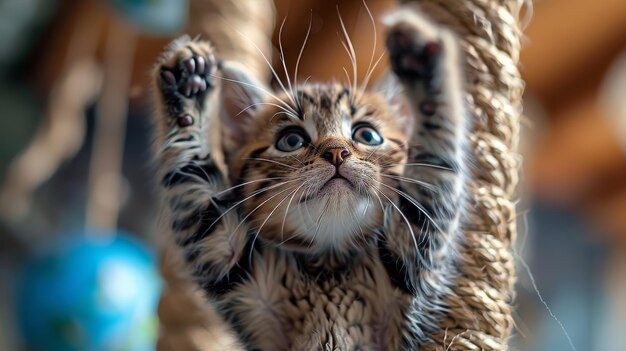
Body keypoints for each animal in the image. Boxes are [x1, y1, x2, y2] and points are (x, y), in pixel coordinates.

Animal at [151, 6, 466, 351]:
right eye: (291, 140)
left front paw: (424, 65)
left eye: (367, 135)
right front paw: (186, 89)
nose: (337, 152)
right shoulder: (228, 260)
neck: (329, 263)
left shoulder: (414, 253)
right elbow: (195, 187)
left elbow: (433, 167)